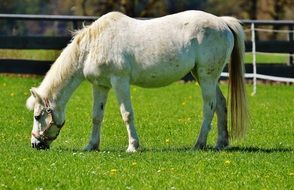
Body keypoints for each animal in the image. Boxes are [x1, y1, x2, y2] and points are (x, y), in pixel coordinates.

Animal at [27, 10, 248, 152]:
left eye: (38, 116)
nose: (35, 145)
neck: (93, 45)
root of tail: (222, 22)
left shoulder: (120, 82)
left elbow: (127, 114)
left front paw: (133, 146)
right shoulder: (101, 86)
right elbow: (97, 116)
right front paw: (91, 146)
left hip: (206, 76)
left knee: (209, 107)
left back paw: (199, 144)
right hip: (204, 76)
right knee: (220, 104)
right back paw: (221, 143)